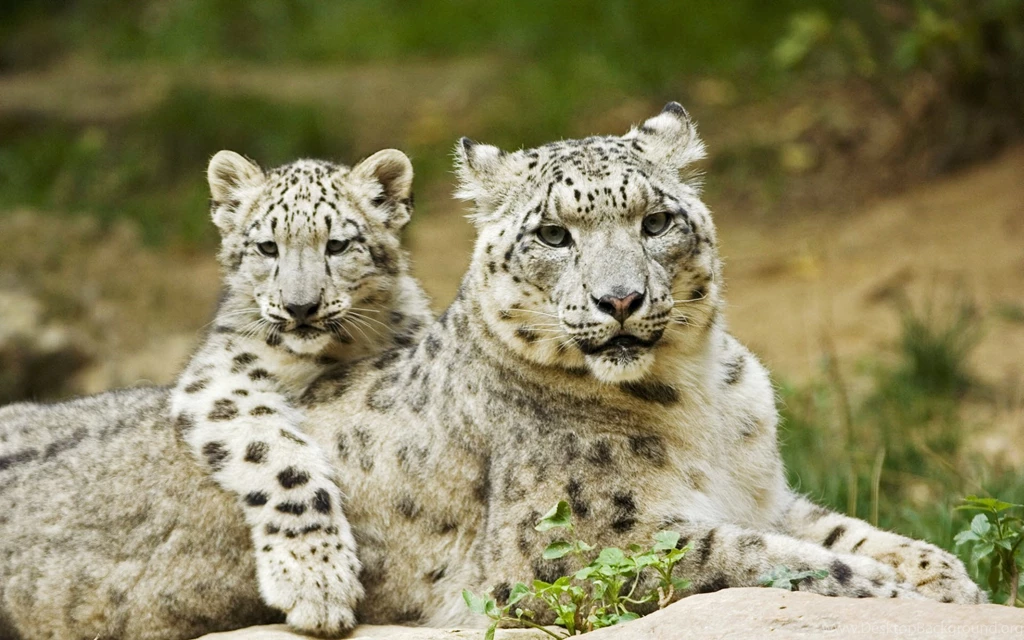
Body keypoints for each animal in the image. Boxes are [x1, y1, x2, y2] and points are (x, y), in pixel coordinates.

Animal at [0, 104, 982, 640]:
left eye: (657, 219)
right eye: (553, 234)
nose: (622, 299)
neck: (700, 397)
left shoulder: (765, 492)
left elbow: (843, 530)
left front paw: (947, 580)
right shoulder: (581, 549)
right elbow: (748, 556)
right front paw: (886, 592)